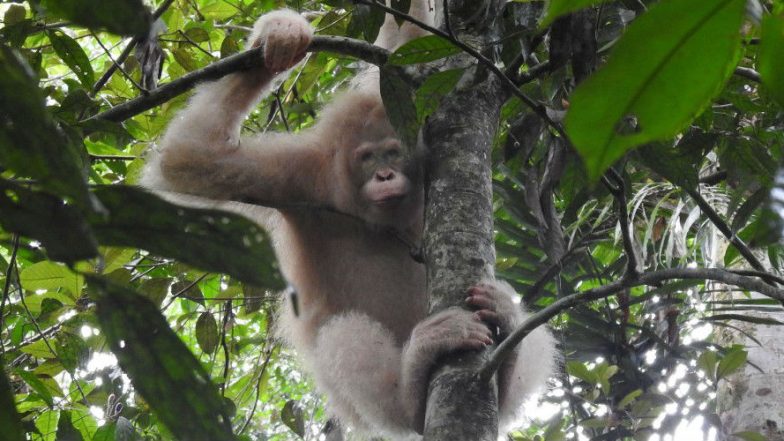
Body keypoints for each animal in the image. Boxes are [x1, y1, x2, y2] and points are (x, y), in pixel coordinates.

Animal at [142, 4, 555, 438]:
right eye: (367, 158)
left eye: (393, 153)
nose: (385, 176)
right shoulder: (297, 175)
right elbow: (192, 158)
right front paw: (280, 36)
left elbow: (404, 45)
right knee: (346, 336)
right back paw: (413, 381)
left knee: (523, 324)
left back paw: (508, 342)